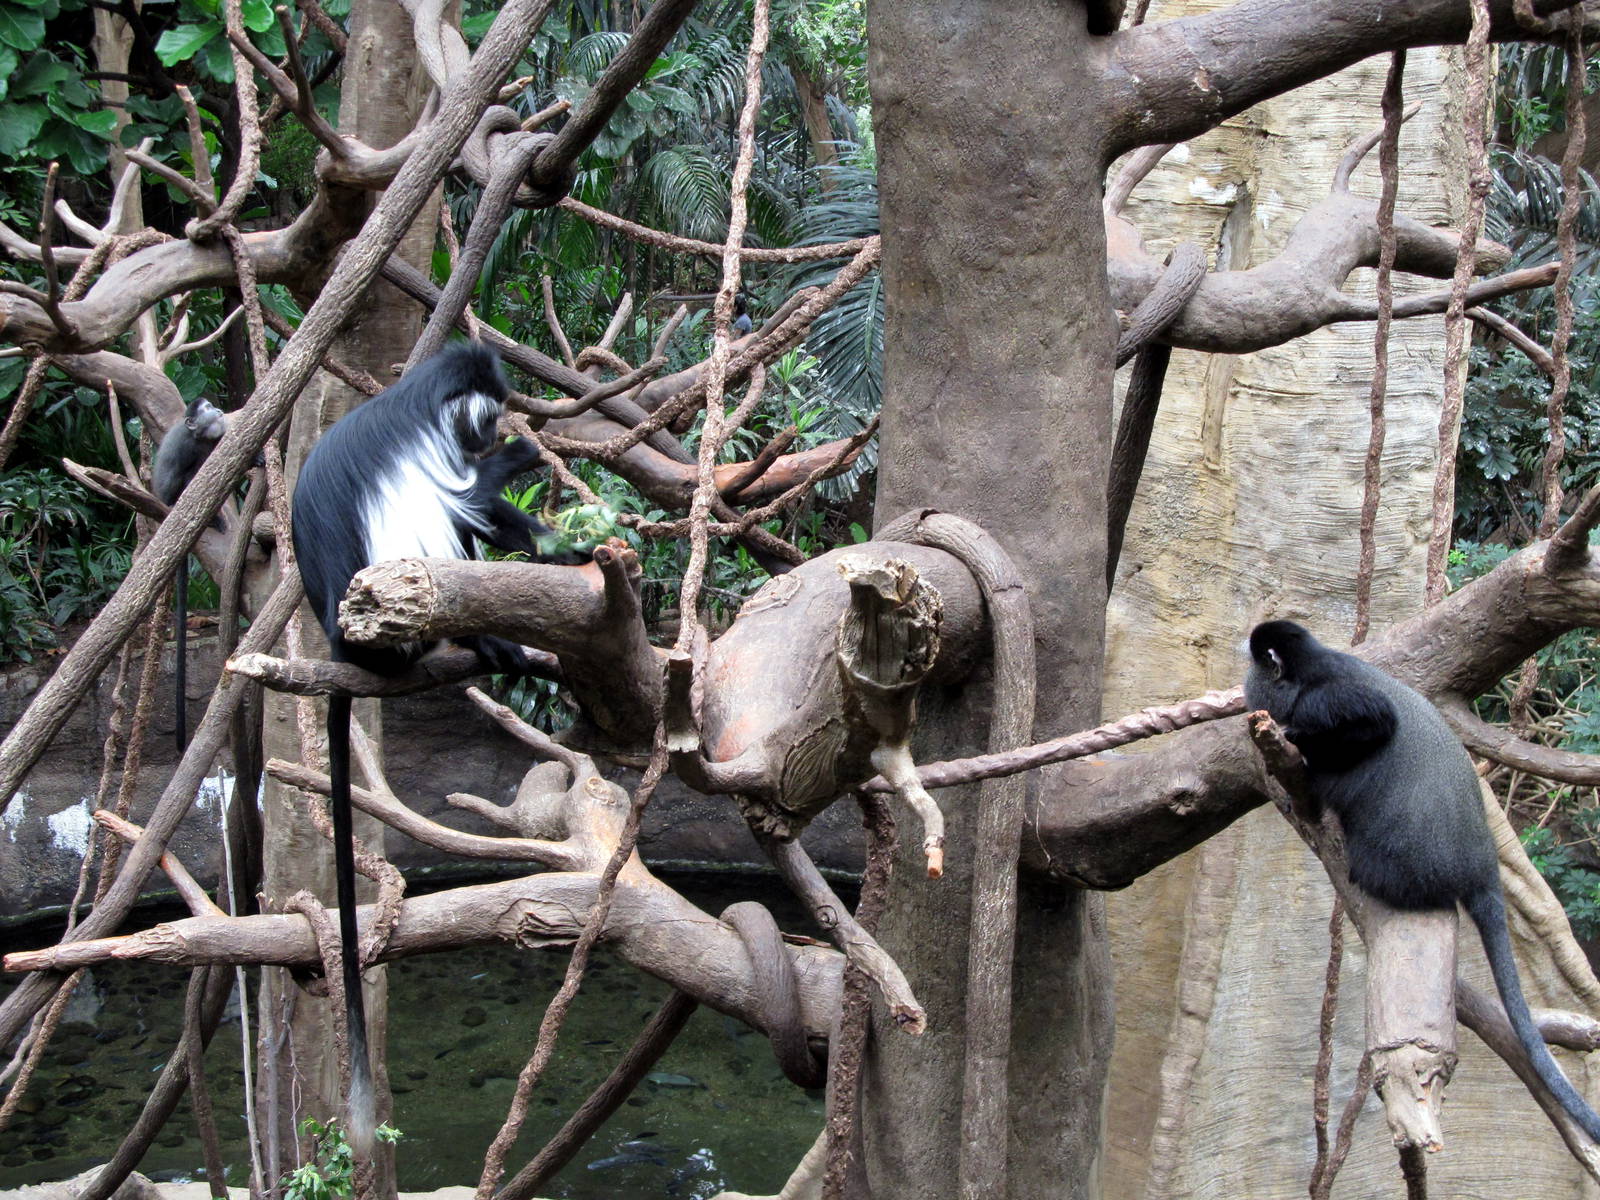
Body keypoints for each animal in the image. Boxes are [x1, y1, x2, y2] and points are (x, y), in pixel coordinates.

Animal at [291, 341, 580, 1153]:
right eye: (488, 410)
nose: (497, 430)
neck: (416, 402)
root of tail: (342, 645)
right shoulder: (433, 453)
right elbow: (470, 501)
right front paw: (516, 461)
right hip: (389, 626)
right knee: (445, 540)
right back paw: (488, 642)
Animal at [1244, 619, 1600, 1141]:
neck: (1307, 670)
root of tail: (1481, 865)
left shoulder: (1328, 695)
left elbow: (1375, 722)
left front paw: (1298, 743)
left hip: (1406, 866)